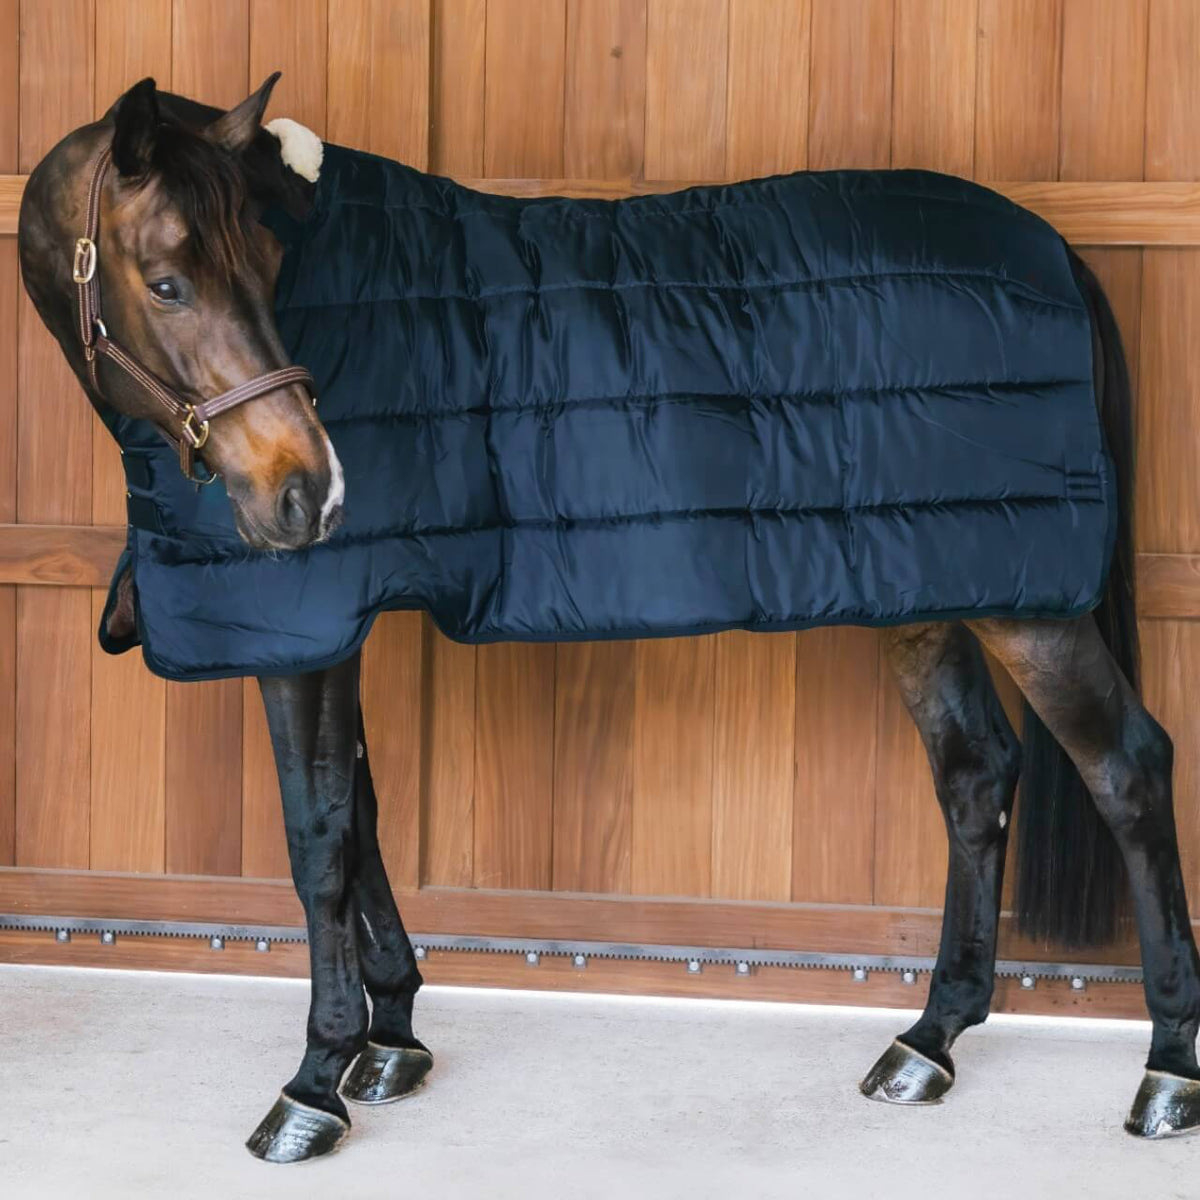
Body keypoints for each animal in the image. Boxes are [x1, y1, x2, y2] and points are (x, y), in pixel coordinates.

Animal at [16, 73, 1200, 1163]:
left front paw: (314, 1082)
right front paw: (391, 1038)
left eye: (264, 268)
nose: (313, 493)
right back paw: (929, 1042)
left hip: (1026, 611)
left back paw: (1166, 1073)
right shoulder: (333, 625)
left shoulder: (305, 623)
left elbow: (318, 840)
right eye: (168, 280)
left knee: (1127, 768)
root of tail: (1049, 247)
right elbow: (364, 819)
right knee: (974, 775)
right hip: (930, 585)